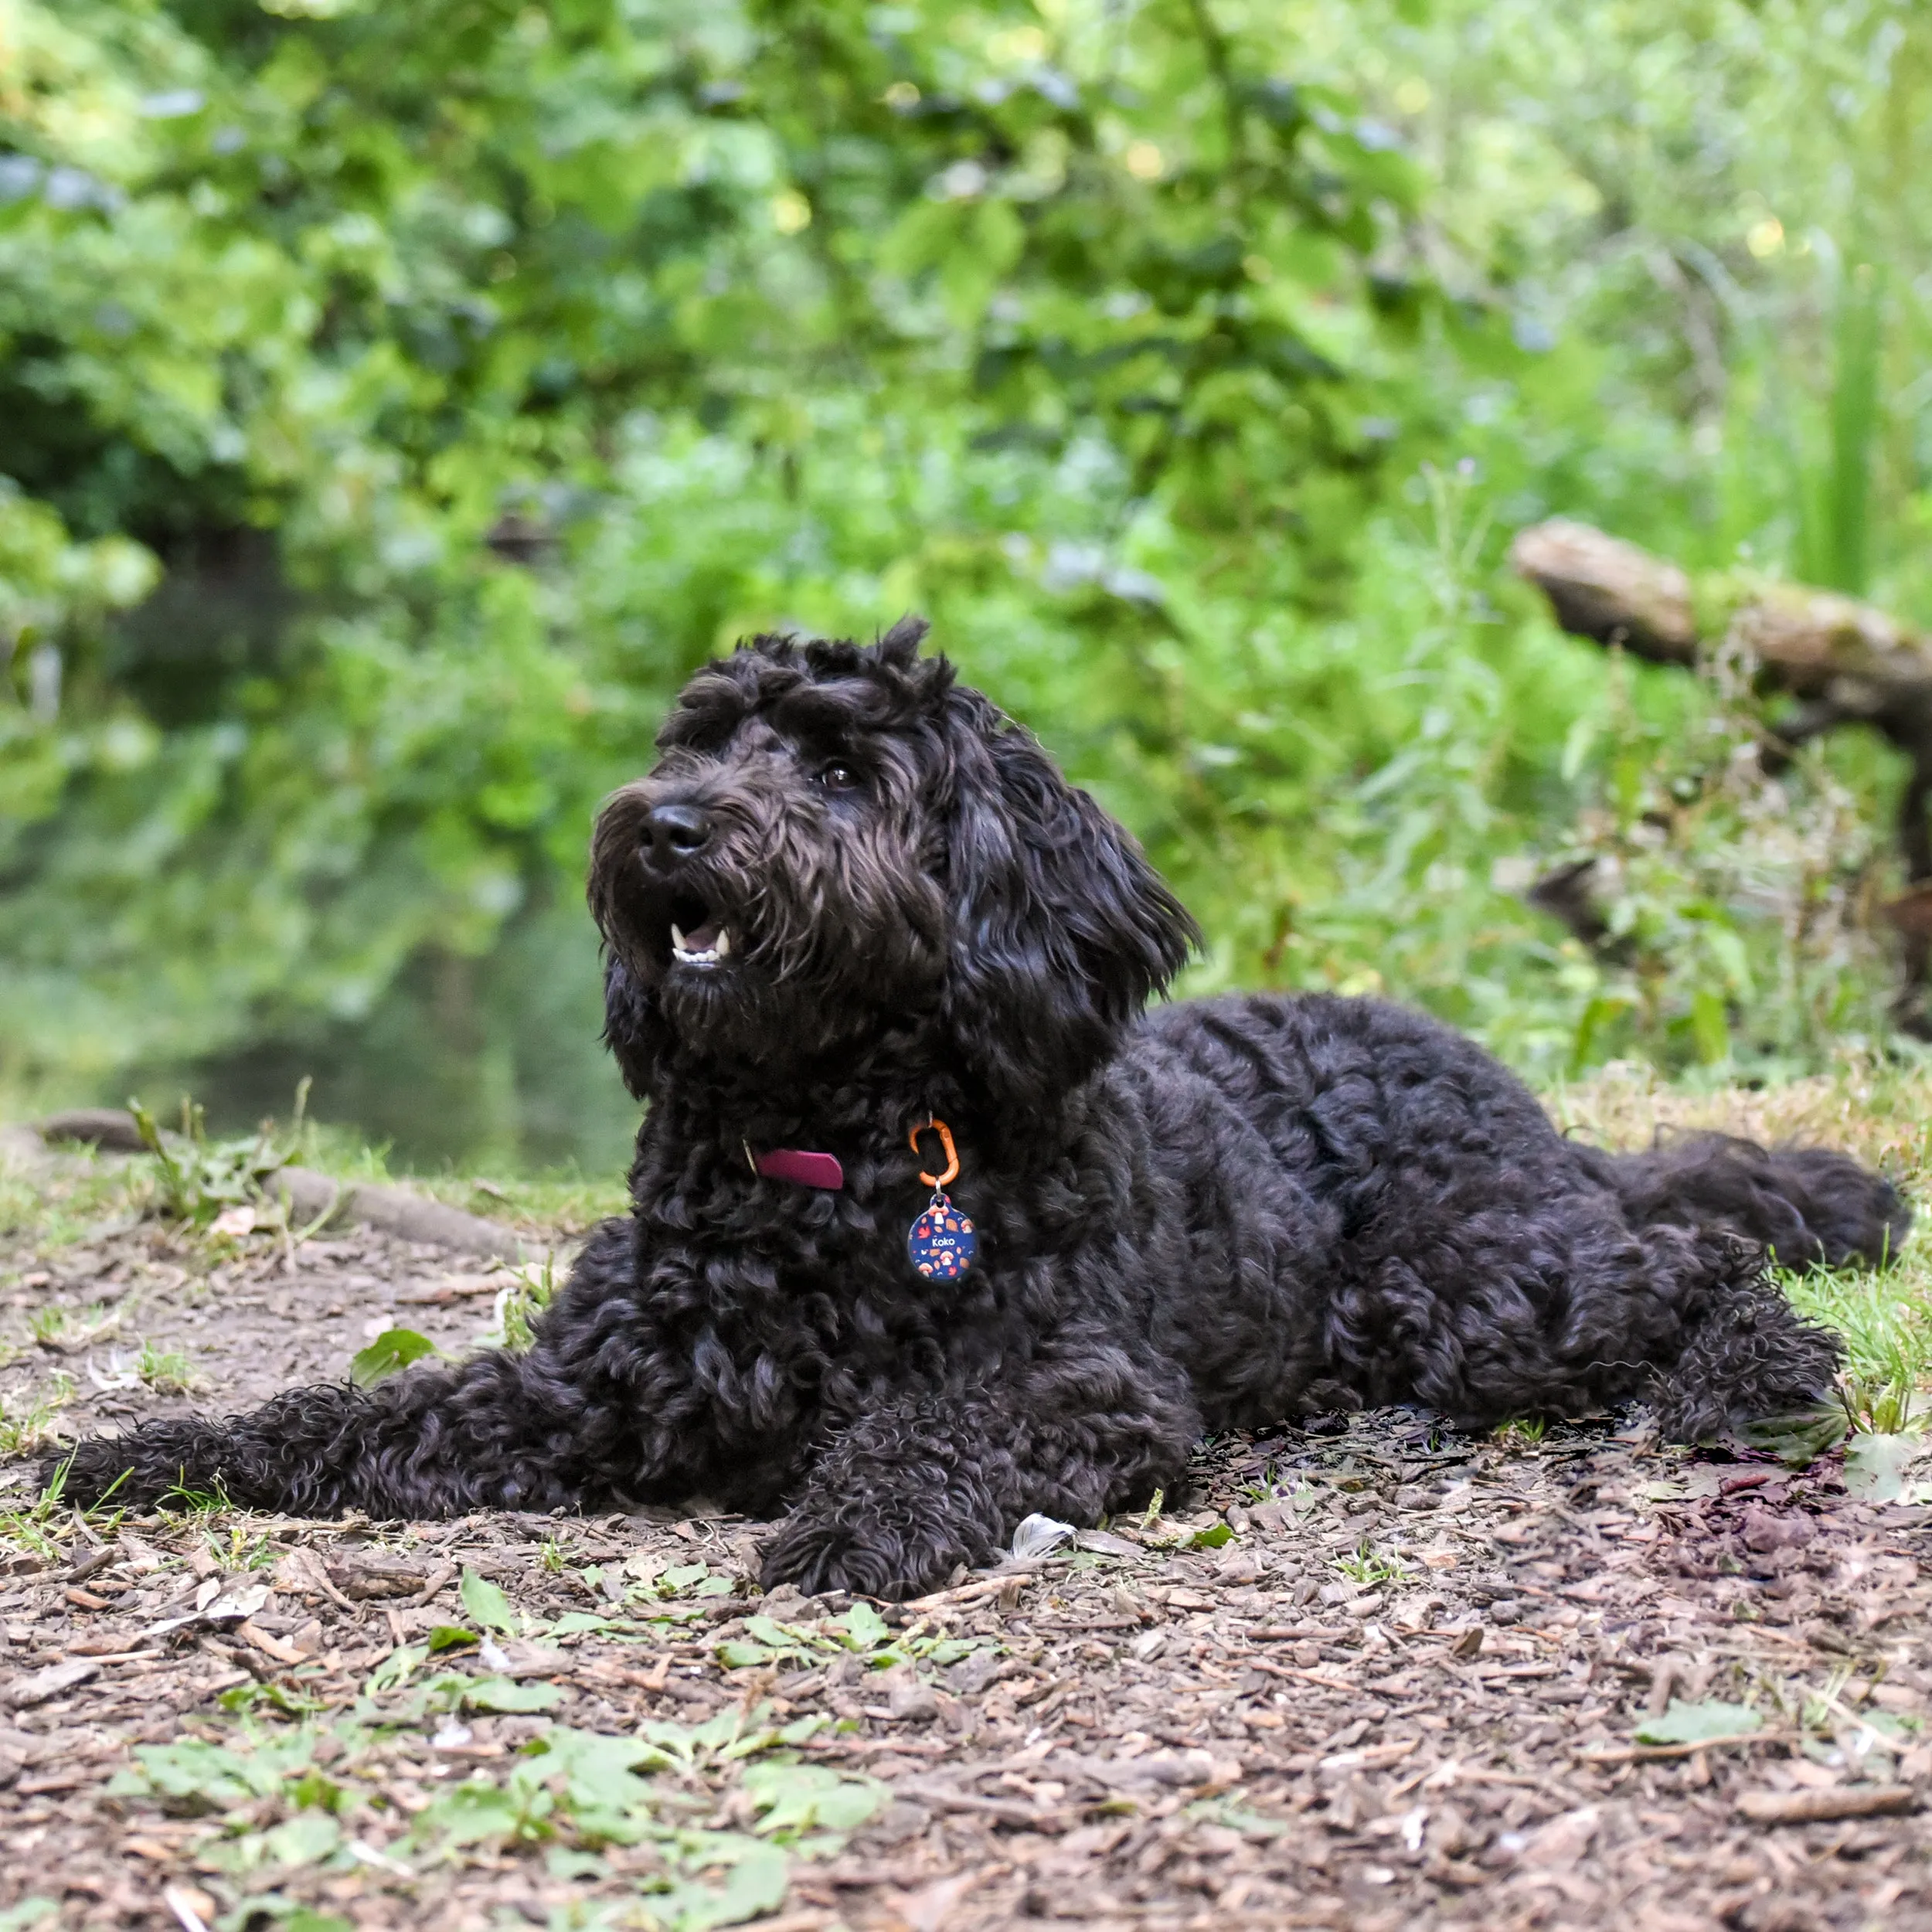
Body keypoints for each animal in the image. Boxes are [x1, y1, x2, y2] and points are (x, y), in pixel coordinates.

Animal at [53, 622, 1909, 1600]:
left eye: (839, 773)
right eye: (698, 740)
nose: (662, 824)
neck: (821, 1159)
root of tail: (1497, 1089)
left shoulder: (1079, 1378)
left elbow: (929, 1426)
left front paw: (855, 1514)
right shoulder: (590, 1385)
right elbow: (353, 1413)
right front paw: (149, 1451)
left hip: (1460, 1271)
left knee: (1687, 1265)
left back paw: (1757, 1373)